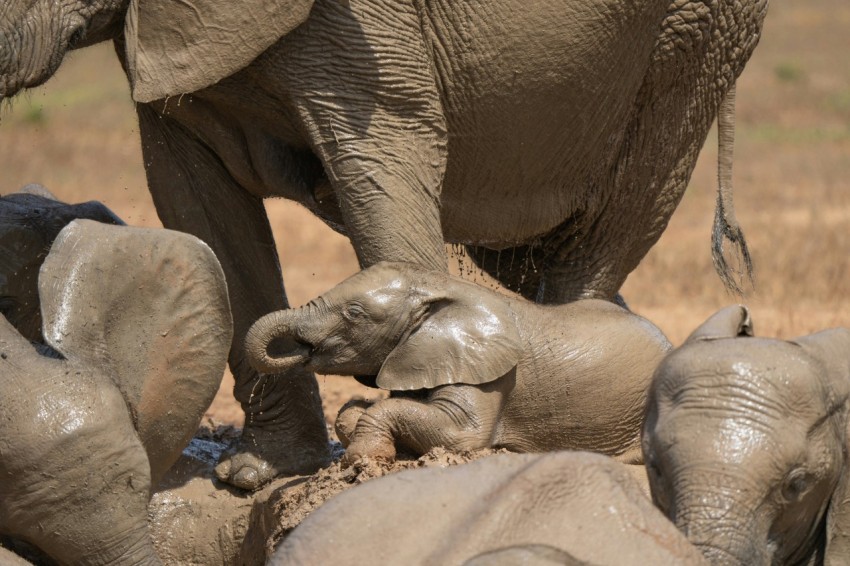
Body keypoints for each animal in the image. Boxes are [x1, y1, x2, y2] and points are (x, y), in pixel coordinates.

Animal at [243, 262, 668, 466]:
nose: (299, 350)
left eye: (354, 314)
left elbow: (462, 435)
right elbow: (363, 408)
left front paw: (365, 458)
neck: (440, 286)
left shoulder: (489, 374)